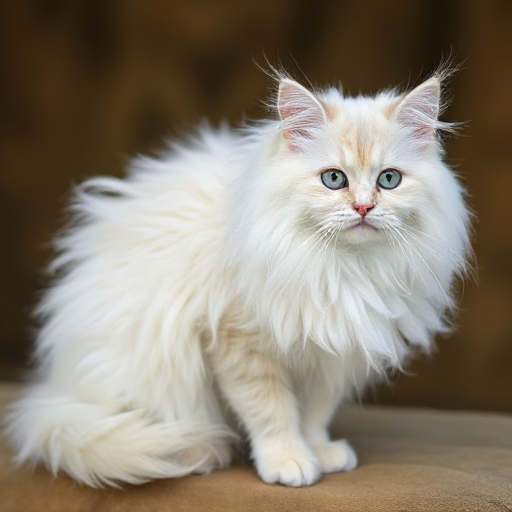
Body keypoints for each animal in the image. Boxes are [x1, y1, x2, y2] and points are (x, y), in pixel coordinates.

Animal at [7, 67, 472, 488]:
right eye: (333, 179)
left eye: (389, 179)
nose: (363, 208)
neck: (339, 269)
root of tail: (58, 390)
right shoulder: (239, 341)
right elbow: (273, 413)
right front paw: (290, 462)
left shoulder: (331, 351)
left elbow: (314, 413)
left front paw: (319, 451)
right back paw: (198, 452)